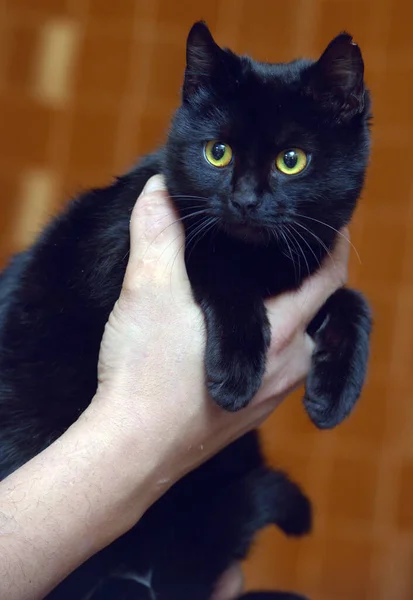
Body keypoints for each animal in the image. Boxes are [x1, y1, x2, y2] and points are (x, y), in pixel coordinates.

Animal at [0, 21, 370, 596]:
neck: (265, 264)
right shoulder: (120, 246)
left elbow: (352, 301)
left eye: (292, 160)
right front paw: (237, 373)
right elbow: (214, 264)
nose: (244, 200)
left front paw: (335, 396)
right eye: (217, 153)